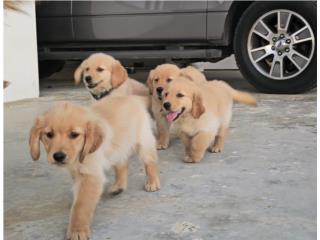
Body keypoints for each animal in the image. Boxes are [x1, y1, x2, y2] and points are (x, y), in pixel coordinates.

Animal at [28, 97, 160, 240]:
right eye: (49, 134)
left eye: (74, 135)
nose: (58, 156)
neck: (79, 156)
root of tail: (131, 97)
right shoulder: (77, 173)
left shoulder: (90, 175)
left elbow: (81, 205)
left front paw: (77, 230)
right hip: (117, 147)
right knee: (122, 163)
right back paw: (118, 186)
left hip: (142, 140)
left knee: (150, 161)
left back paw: (152, 182)